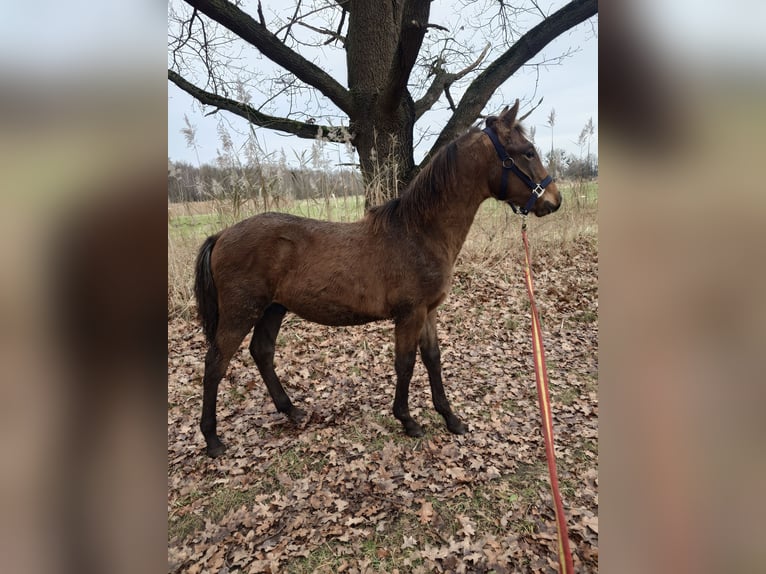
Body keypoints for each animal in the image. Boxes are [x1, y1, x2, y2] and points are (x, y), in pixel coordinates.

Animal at [193, 100, 560, 457]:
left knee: (262, 352)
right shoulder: (410, 314)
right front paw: (408, 421)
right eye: (527, 151)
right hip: (241, 312)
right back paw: (212, 440)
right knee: (215, 365)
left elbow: (433, 360)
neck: (419, 233)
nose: (554, 201)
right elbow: (406, 363)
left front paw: (450, 418)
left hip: (273, 308)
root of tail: (221, 235)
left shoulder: (429, 312)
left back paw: (291, 410)